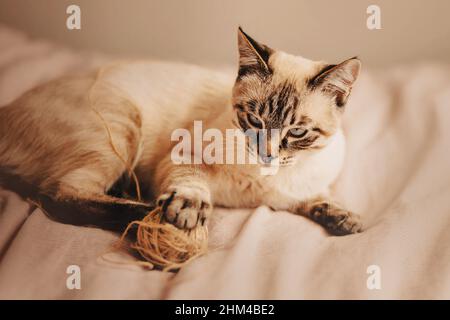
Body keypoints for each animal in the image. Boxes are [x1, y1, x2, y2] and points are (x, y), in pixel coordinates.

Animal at [0, 27, 362, 236]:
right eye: (255, 121)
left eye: (297, 132)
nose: (267, 154)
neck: (266, 184)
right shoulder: (182, 157)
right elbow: (192, 184)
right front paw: (188, 209)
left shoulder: (294, 193)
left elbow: (317, 199)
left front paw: (345, 219)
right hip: (122, 126)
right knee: (58, 196)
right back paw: (144, 211)